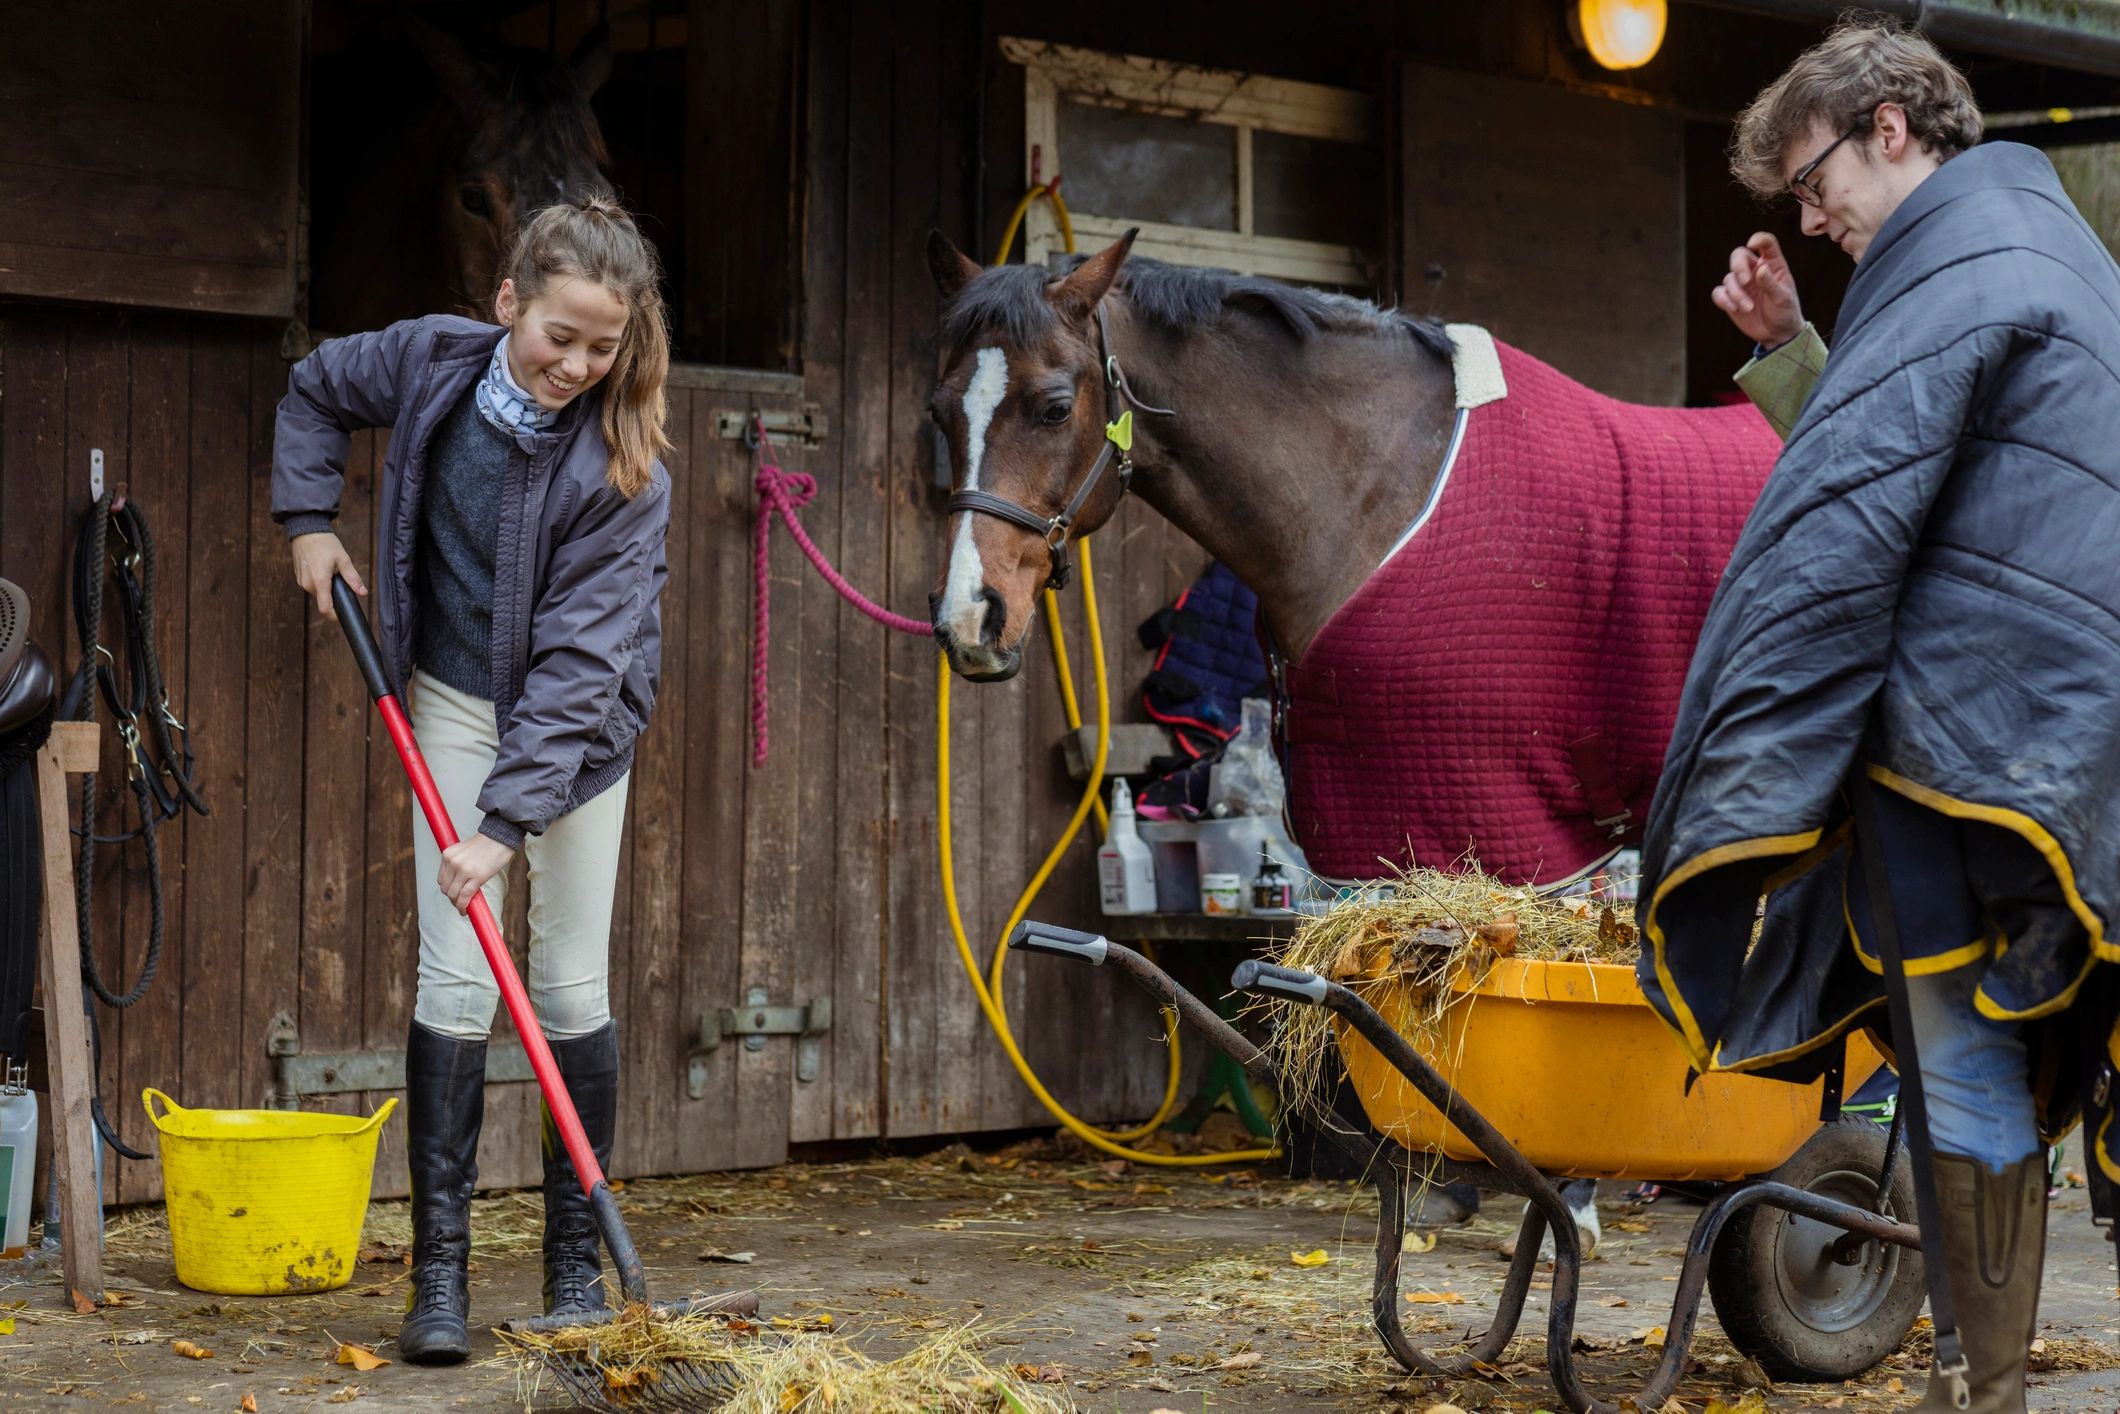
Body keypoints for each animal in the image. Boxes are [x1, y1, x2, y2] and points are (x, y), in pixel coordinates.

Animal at [922, 229, 1784, 1244]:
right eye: (940, 409)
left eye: (1055, 405)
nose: (969, 621)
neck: (1373, 492)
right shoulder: (1380, 811)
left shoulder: (1500, 810)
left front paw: (1561, 1195)